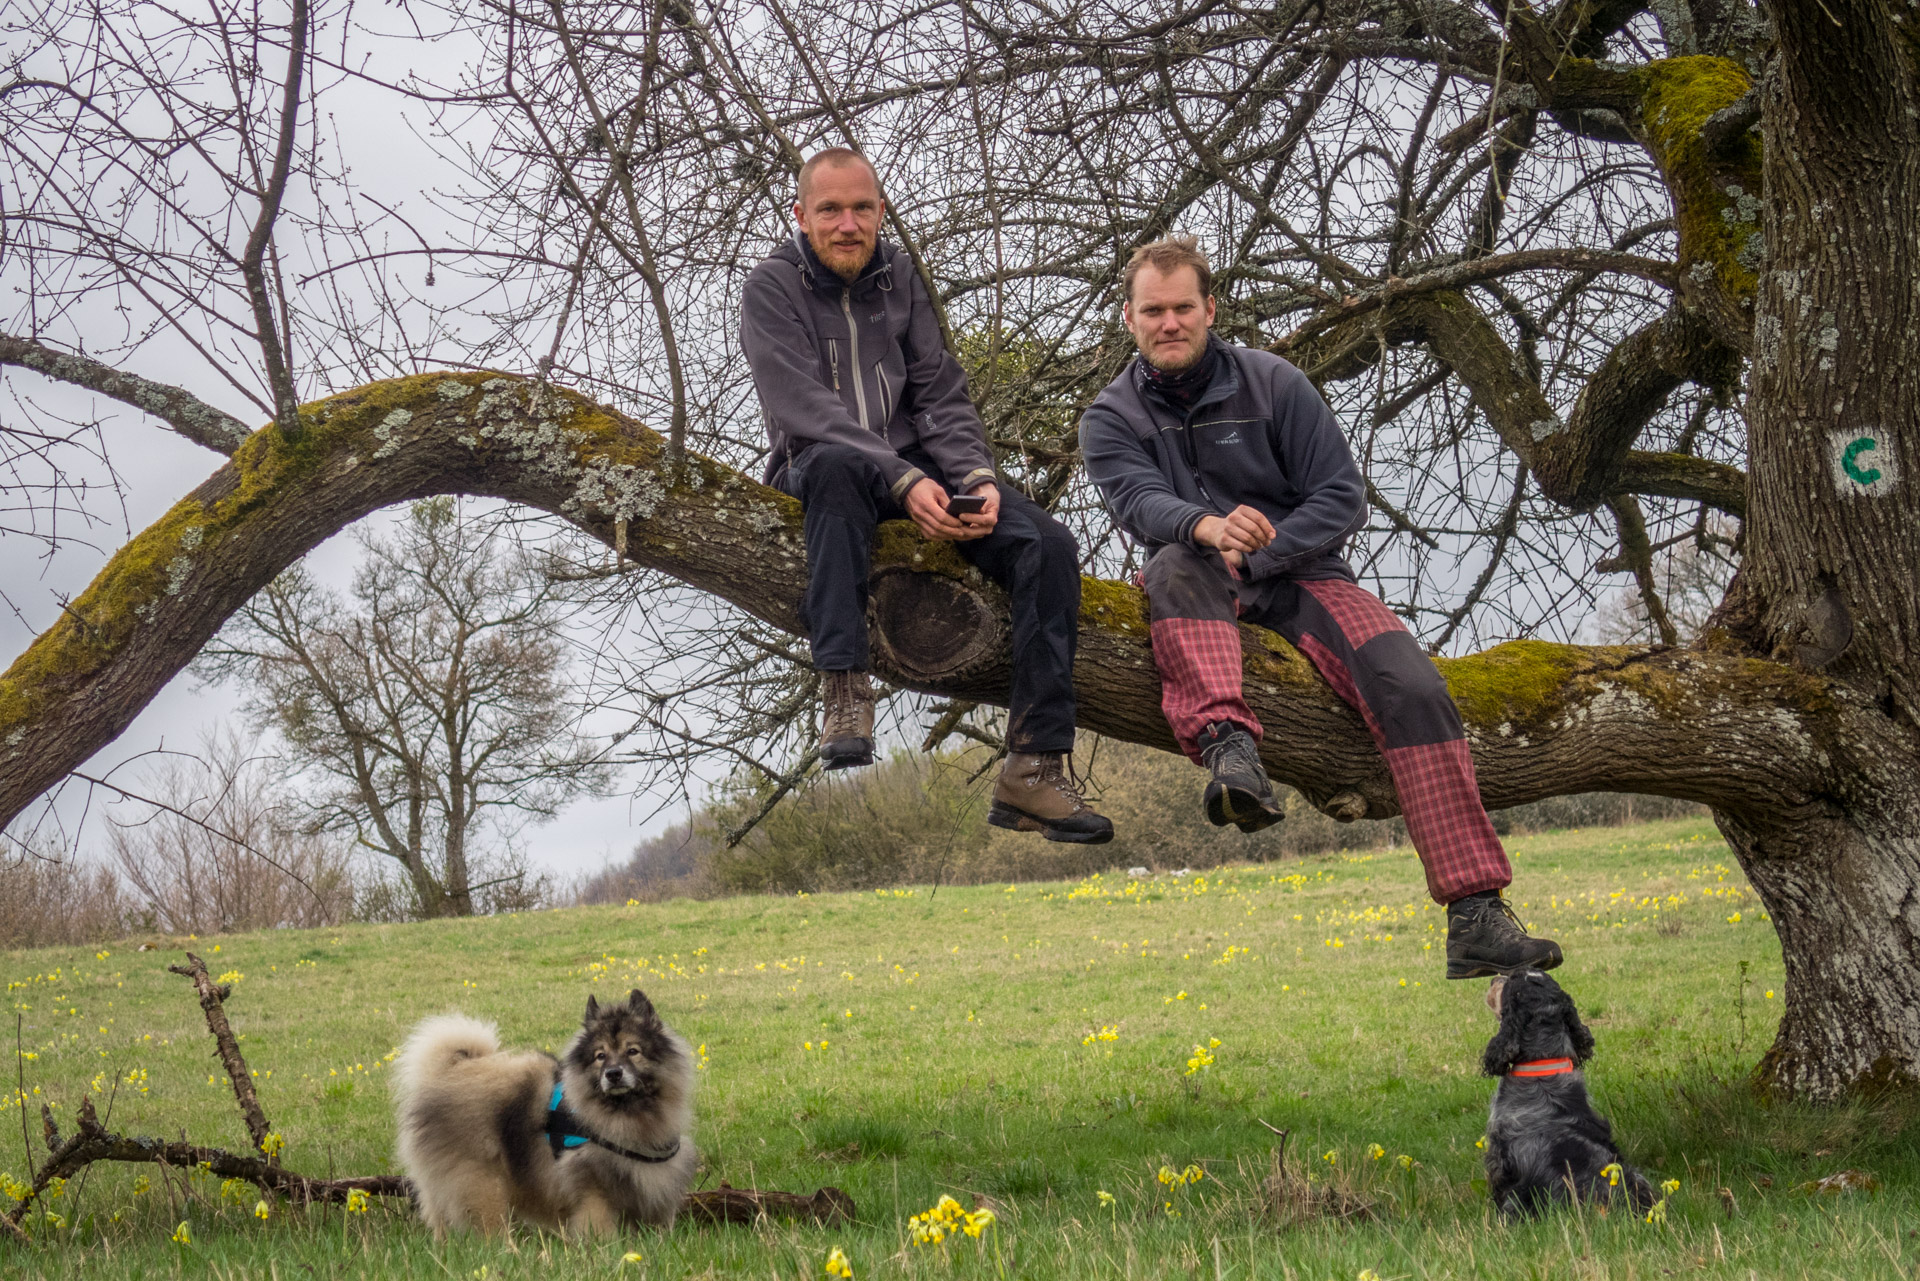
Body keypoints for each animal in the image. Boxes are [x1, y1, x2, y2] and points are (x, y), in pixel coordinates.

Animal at [393, 990, 695, 1236]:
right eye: (600, 1056)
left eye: (633, 1051)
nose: (613, 1074)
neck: (626, 1113)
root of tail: (447, 1073)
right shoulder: (592, 1190)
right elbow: (599, 1227)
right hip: (480, 1184)